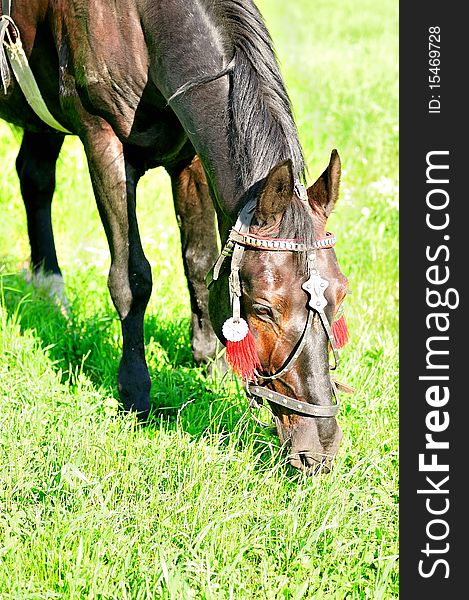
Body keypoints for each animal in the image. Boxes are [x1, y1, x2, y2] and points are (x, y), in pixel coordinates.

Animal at [0, 0, 350, 474]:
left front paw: (209, 360)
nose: (321, 446)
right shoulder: (103, 142)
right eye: (263, 308)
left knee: (34, 174)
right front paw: (134, 391)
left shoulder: (191, 157)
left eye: (341, 294)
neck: (140, 22)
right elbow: (132, 278)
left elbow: (200, 261)